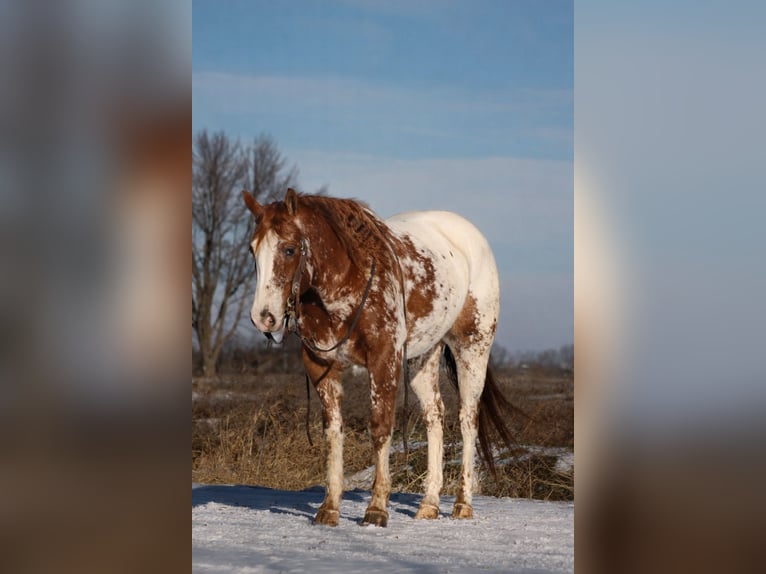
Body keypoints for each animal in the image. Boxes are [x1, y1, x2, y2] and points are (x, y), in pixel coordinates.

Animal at [242, 188, 515, 527]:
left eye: (289, 249)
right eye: (253, 250)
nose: (263, 317)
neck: (349, 280)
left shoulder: (384, 360)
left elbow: (381, 427)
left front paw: (376, 508)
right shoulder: (322, 366)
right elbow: (333, 432)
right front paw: (329, 507)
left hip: (472, 349)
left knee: (467, 419)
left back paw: (462, 503)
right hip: (423, 358)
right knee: (434, 416)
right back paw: (429, 504)